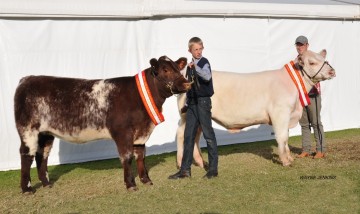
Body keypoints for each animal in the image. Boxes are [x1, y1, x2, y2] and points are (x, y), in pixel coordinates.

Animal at [14, 55, 191, 194]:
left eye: (178, 68)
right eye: (165, 70)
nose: (187, 84)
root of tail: (27, 79)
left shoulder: (141, 133)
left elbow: (141, 156)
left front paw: (146, 180)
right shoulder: (123, 133)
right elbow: (127, 157)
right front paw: (130, 184)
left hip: (45, 133)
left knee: (41, 154)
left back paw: (46, 183)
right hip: (28, 130)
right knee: (26, 154)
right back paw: (27, 188)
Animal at [176, 49, 336, 167]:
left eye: (324, 60)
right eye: (312, 62)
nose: (332, 71)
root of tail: (187, 76)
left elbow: (286, 137)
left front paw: (290, 157)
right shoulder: (280, 113)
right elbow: (282, 137)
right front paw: (285, 161)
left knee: (195, 136)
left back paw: (200, 162)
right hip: (187, 114)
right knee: (183, 135)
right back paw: (180, 163)